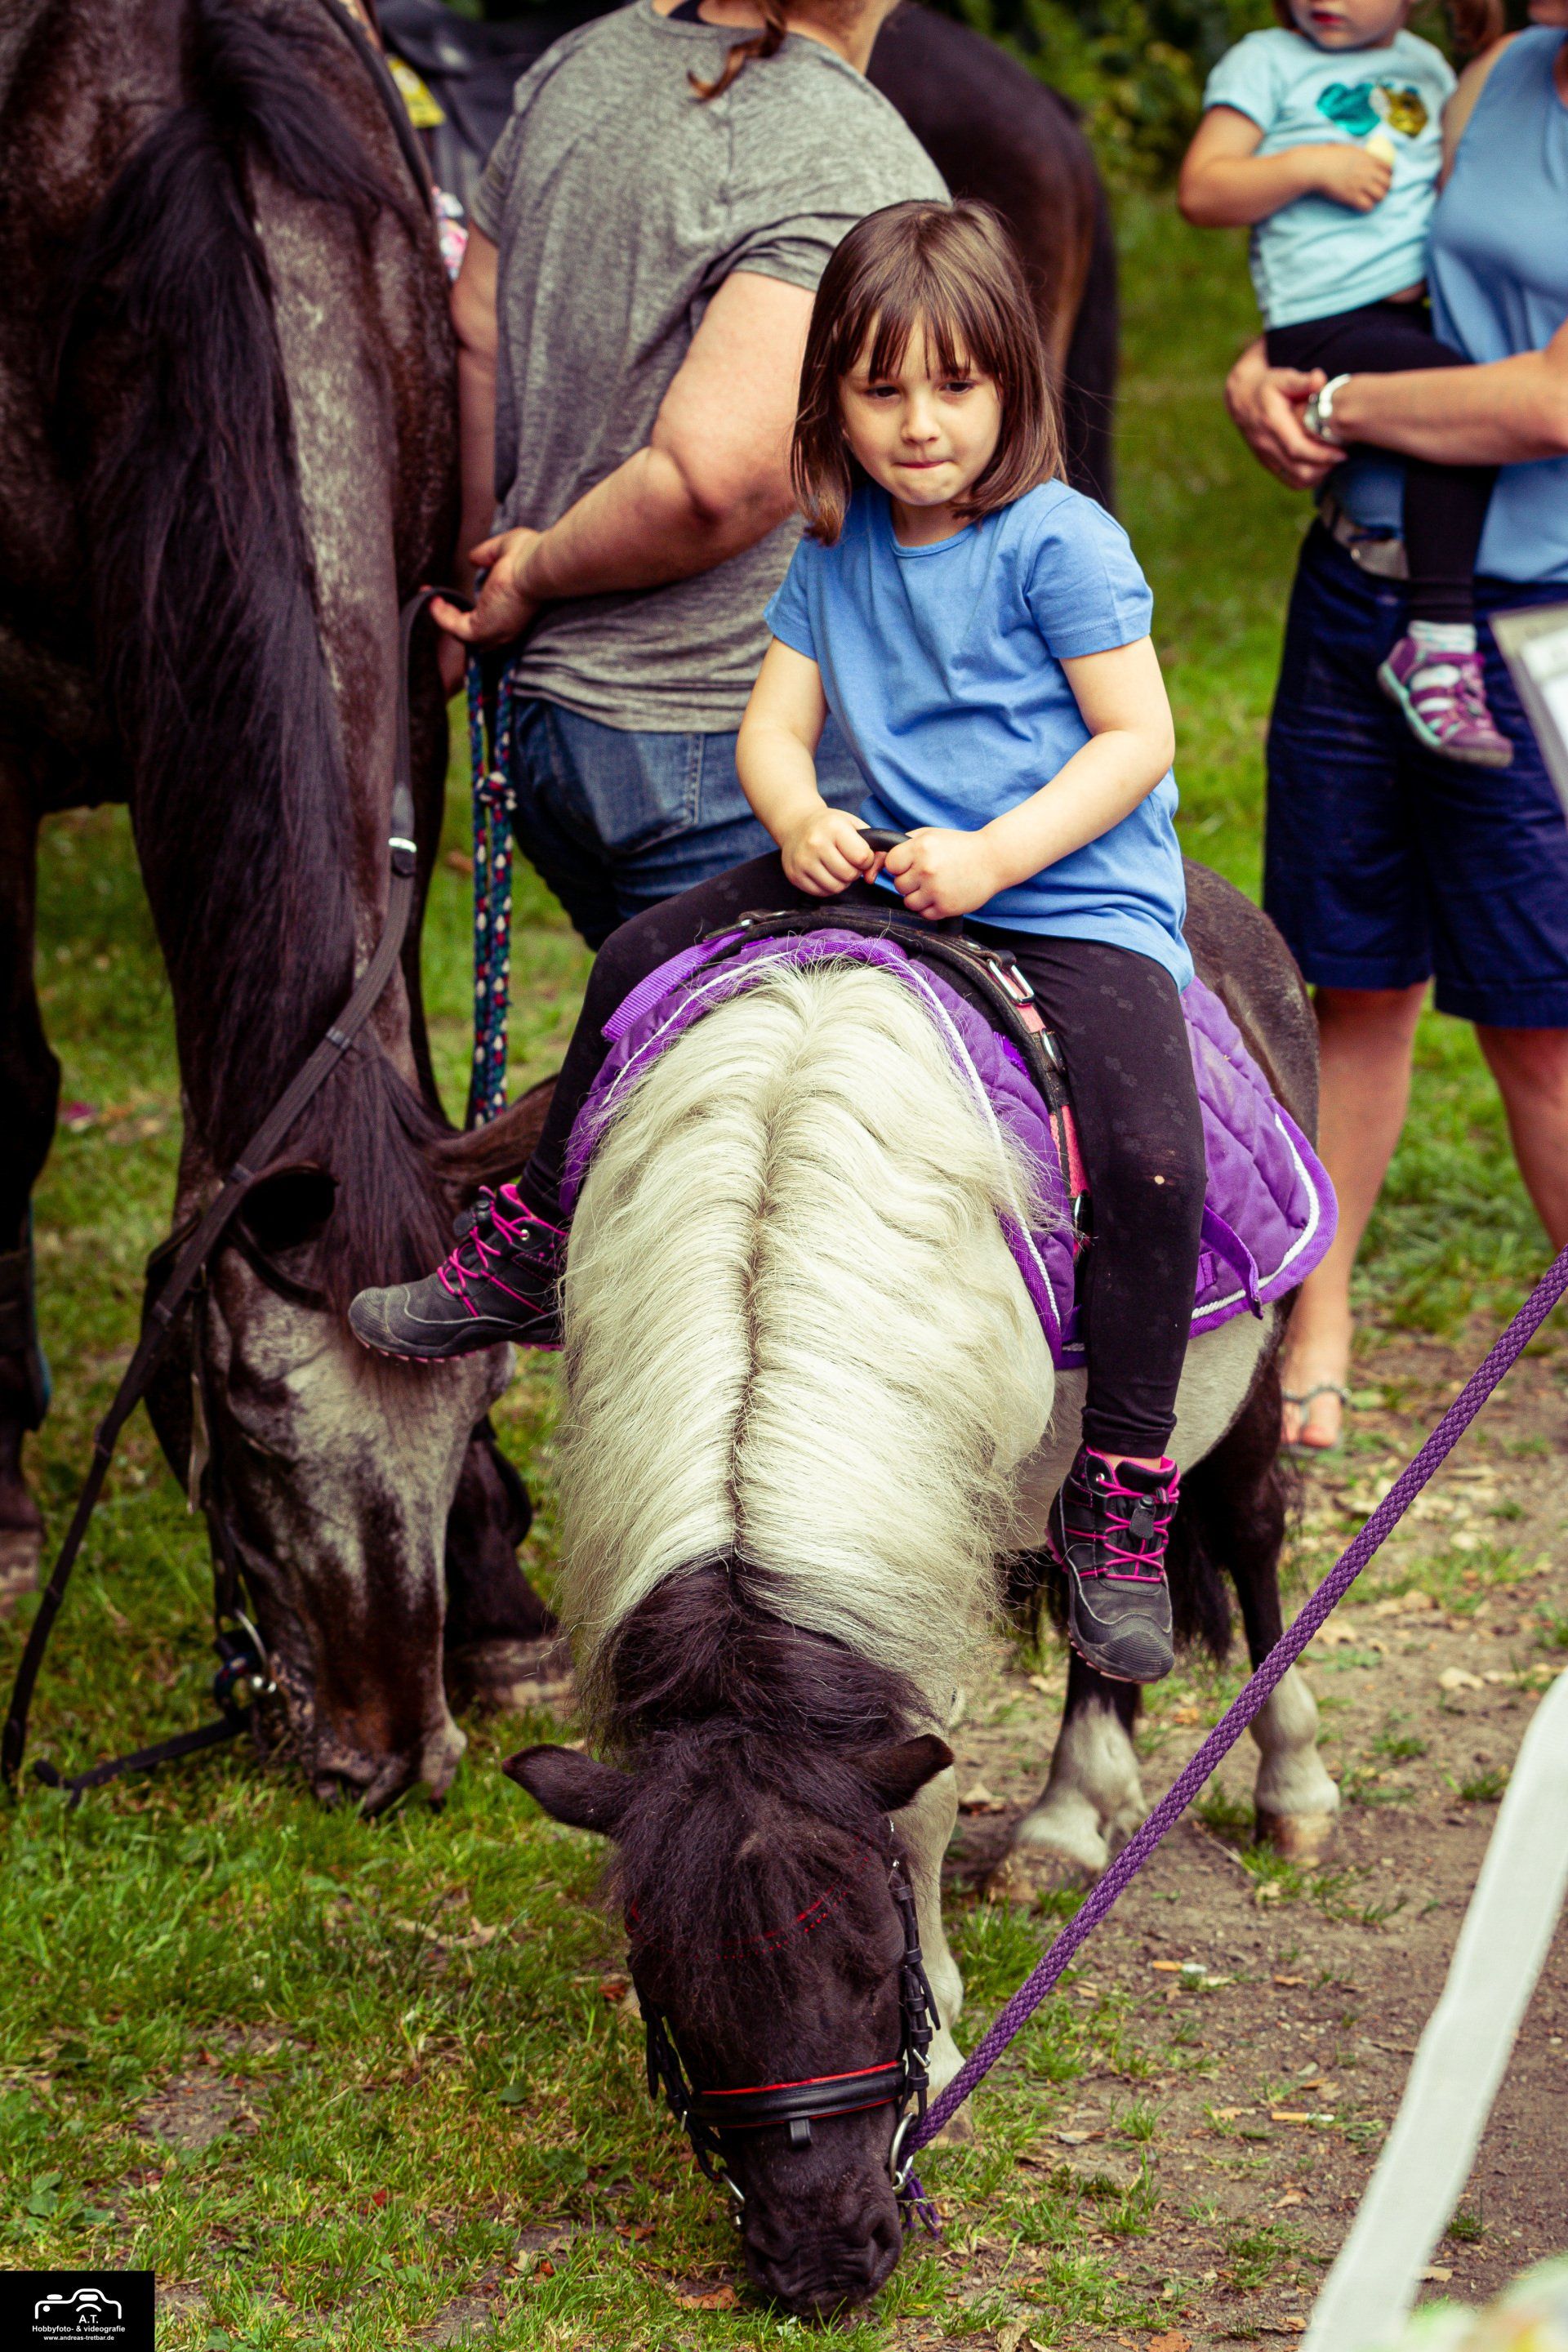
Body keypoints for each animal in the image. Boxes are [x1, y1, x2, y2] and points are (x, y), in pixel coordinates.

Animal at [506, 865, 1340, 2315]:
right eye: (675, 1993)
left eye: (867, 1959)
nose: (826, 2263)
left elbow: (930, 1792)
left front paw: (948, 2040)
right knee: (1111, 1594)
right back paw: (1071, 1818)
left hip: (1236, 1391)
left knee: (1245, 1538)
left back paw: (1285, 1788)